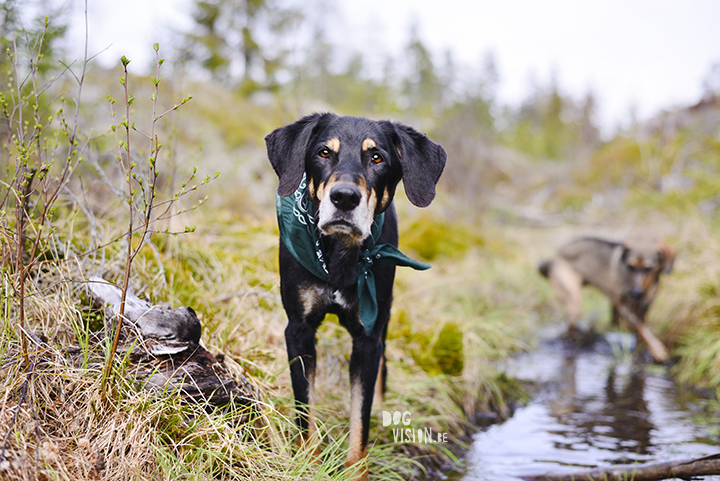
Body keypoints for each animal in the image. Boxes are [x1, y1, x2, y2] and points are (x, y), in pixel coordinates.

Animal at [264, 112, 444, 476]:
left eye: (377, 158)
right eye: (323, 153)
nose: (344, 197)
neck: (340, 258)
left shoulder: (368, 338)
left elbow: (360, 419)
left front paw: (355, 471)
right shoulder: (298, 329)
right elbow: (305, 408)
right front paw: (309, 463)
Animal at [540, 234, 676, 362]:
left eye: (648, 268)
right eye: (630, 266)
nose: (635, 293)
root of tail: (556, 256)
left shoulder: (643, 308)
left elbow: (641, 331)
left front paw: (643, 352)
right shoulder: (623, 306)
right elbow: (639, 327)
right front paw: (658, 351)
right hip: (574, 301)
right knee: (569, 331)